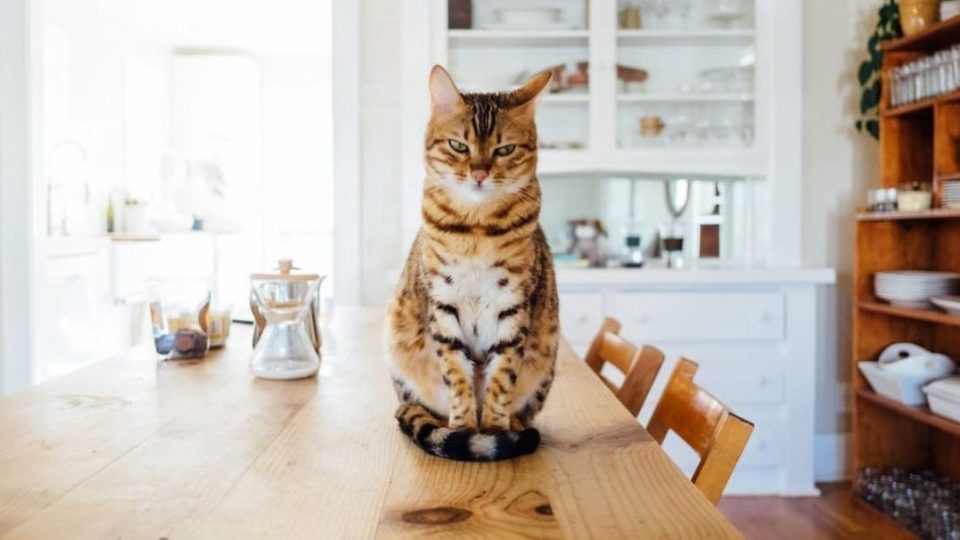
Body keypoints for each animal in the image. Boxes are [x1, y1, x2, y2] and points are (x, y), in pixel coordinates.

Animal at [384, 65, 560, 462]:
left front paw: (494, 429)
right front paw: (463, 429)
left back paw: (515, 426)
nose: (479, 173)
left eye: (505, 149)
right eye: (458, 146)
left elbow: (502, 377)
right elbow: (457, 376)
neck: (477, 229)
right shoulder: (443, 304)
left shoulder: (513, 306)